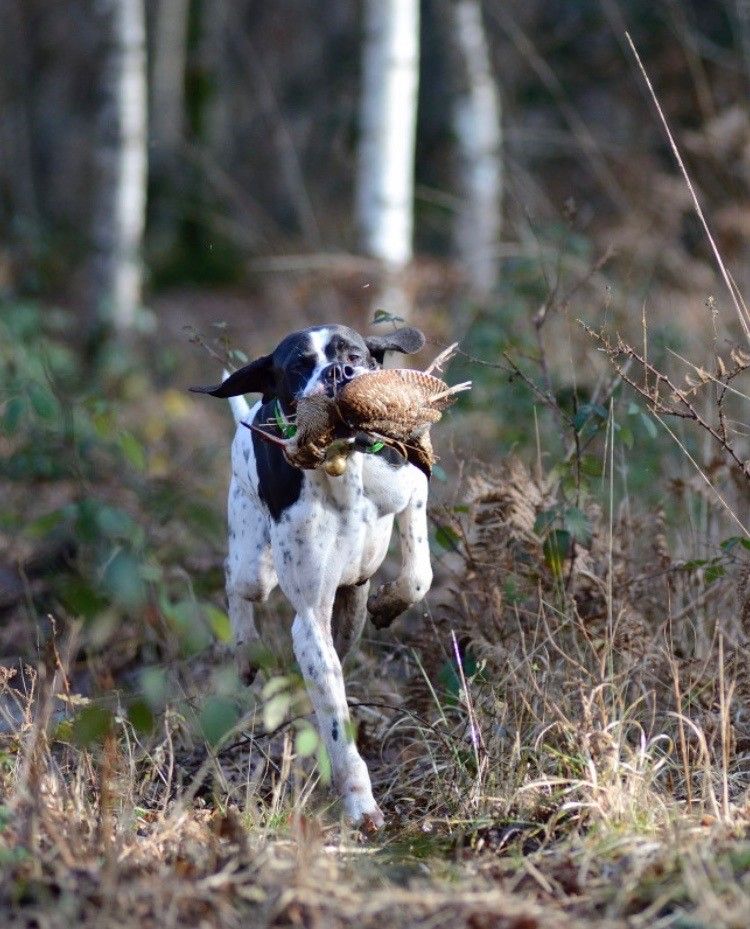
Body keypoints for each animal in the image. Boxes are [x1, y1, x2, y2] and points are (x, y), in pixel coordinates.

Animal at [191, 324, 434, 828]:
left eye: (354, 355)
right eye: (299, 365)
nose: (338, 373)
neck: (342, 466)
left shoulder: (411, 485)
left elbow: (418, 575)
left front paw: (390, 602)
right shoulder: (309, 624)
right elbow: (337, 724)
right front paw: (360, 803)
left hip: (349, 610)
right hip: (254, 567)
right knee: (236, 582)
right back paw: (245, 651)